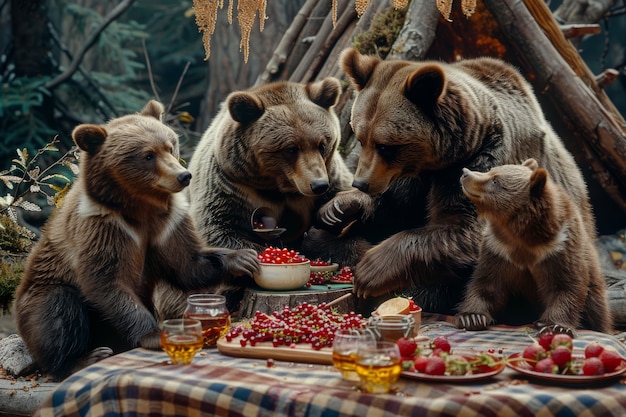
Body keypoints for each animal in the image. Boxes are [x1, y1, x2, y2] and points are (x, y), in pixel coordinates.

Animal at [15, 100, 258, 376]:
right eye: (148, 155)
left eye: (170, 146)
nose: (184, 175)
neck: (142, 209)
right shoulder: (103, 227)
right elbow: (108, 282)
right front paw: (153, 333)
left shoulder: (168, 224)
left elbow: (188, 265)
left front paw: (243, 259)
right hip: (37, 297)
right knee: (58, 309)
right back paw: (84, 357)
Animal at [154, 79, 354, 318]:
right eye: (291, 148)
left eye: (322, 144)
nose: (318, 185)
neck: (277, 187)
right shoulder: (230, 184)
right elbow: (217, 227)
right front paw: (258, 258)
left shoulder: (331, 173)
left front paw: (335, 211)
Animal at [302, 48, 596, 316]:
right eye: (361, 138)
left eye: (386, 146)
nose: (362, 183)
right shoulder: (413, 179)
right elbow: (391, 208)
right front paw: (337, 209)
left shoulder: (481, 161)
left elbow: (466, 228)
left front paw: (371, 269)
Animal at [450, 158, 612, 334]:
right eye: (491, 170)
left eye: (495, 180)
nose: (465, 172)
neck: (524, 237)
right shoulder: (499, 249)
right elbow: (487, 283)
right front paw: (472, 317)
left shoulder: (560, 248)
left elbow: (567, 285)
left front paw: (556, 326)